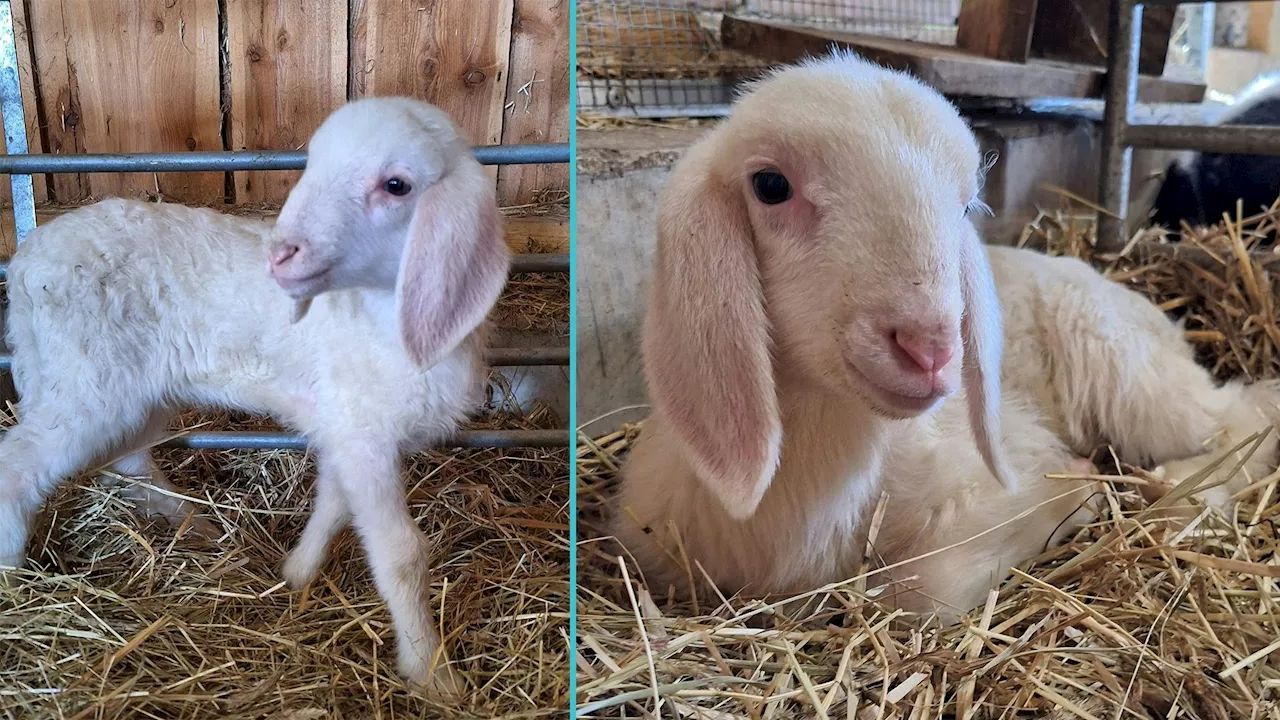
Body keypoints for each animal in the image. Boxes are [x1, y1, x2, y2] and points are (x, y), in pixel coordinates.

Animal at [0, 96, 509, 696]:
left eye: (396, 185)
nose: (282, 254)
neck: (383, 316)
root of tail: (28, 262)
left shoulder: (346, 428)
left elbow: (333, 504)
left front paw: (297, 573)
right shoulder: (363, 434)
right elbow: (401, 554)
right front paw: (432, 672)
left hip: (133, 389)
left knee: (128, 458)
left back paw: (192, 524)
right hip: (83, 379)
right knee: (19, 466)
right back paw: (11, 573)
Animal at [611, 53, 1280, 620]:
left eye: (964, 204)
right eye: (770, 185)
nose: (930, 348)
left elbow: (917, 590)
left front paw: (1081, 491)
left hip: (1125, 371)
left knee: (1245, 413)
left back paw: (1183, 494)